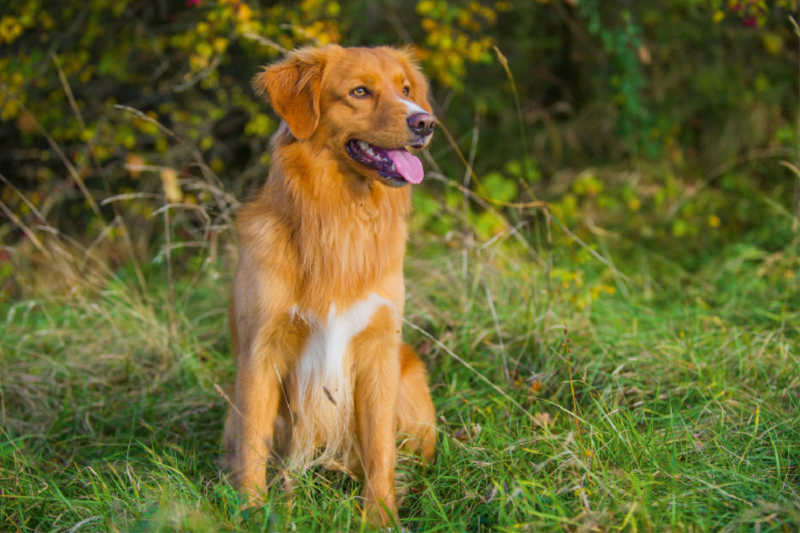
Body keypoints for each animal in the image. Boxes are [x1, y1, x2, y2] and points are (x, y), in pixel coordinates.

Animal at [222, 44, 438, 524]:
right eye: (359, 92)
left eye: (406, 90)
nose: (426, 122)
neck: (339, 216)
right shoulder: (261, 351)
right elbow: (252, 445)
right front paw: (252, 512)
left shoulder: (379, 349)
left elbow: (379, 448)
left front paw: (381, 517)